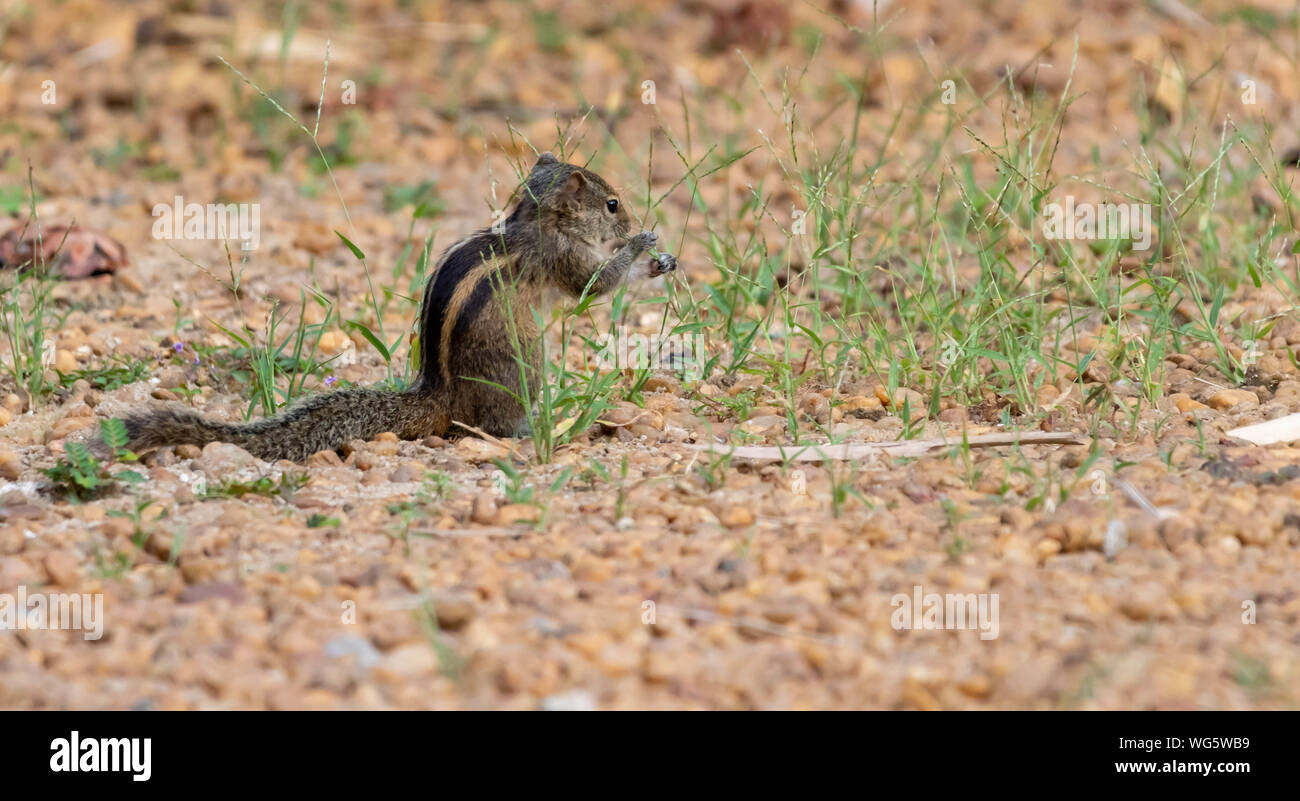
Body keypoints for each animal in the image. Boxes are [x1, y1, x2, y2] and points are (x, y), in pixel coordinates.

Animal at [123, 153, 676, 462]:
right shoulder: (562, 259)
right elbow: (595, 285)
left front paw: (660, 261)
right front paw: (642, 247)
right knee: (488, 425)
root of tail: (439, 394)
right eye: (611, 205)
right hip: (524, 365)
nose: (631, 222)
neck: (531, 220)